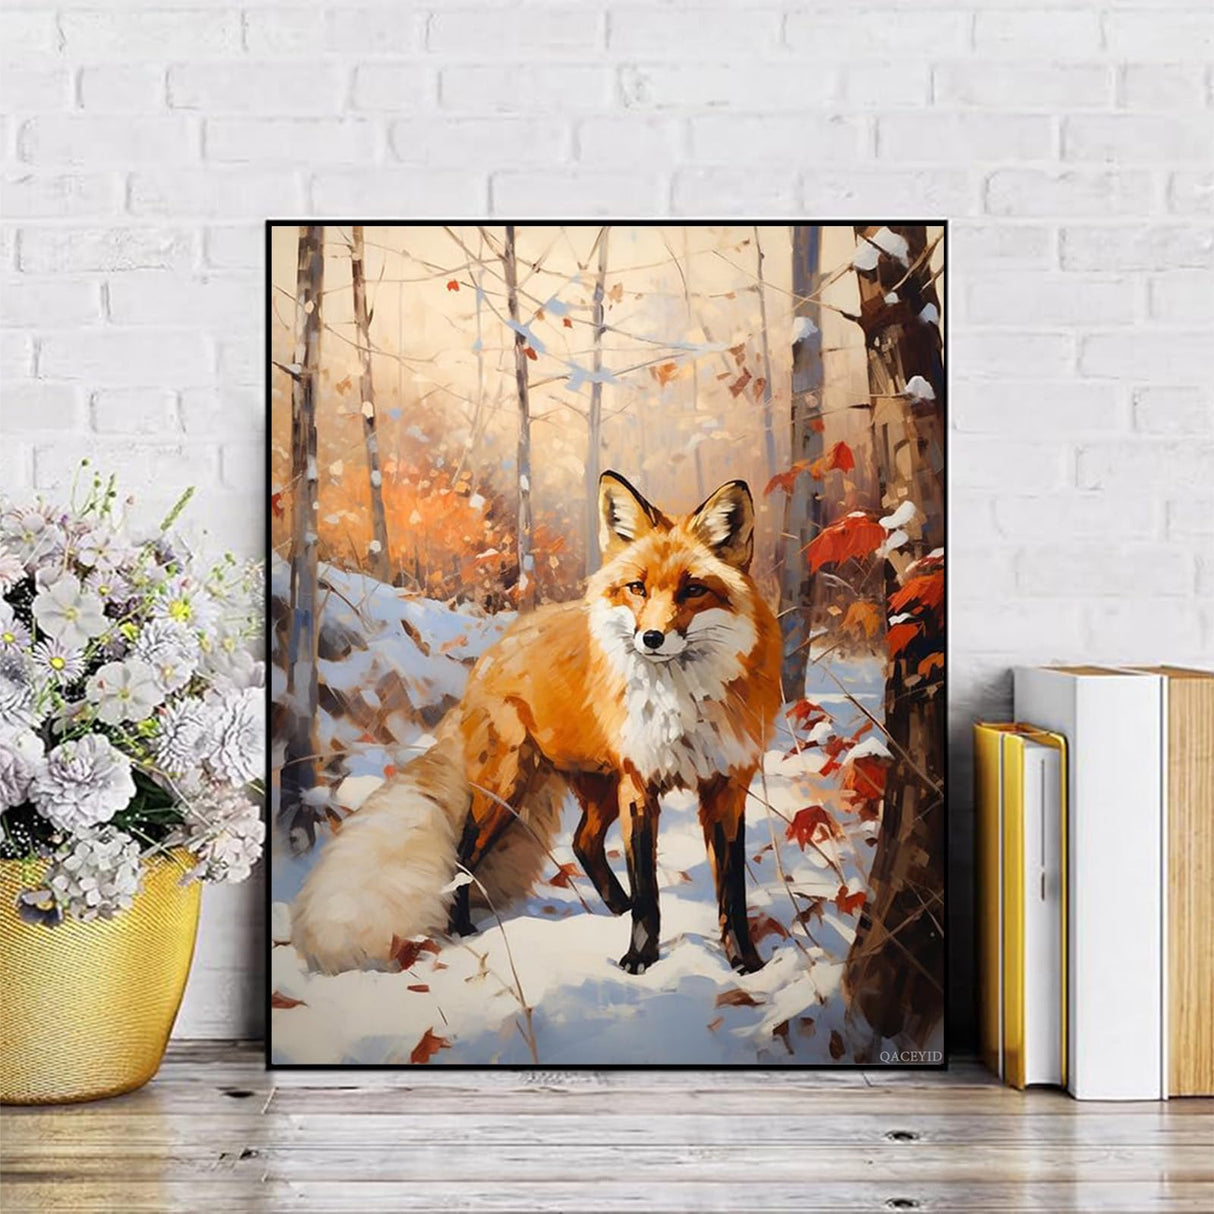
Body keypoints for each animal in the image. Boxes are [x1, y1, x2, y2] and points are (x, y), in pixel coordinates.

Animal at [291, 471, 783, 977]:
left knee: (583, 843)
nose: (651, 638)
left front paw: (745, 961)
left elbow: (732, 891)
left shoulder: (726, 786)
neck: (682, 705)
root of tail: (493, 651)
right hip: (509, 789)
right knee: (464, 856)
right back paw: (463, 929)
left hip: (597, 788)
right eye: (637, 588)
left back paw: (613, 909)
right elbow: (648, 892)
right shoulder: (639, 785)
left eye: (693, 590)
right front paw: (639, 959)